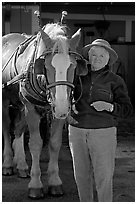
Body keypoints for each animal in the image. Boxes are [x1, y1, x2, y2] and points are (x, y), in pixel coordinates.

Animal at [2, 22, 87, 199]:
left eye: (73, 66)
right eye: (46, 66)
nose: (62, 106)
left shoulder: (57, 112)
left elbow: (54, 143)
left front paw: (55, 182)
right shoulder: (31, 109)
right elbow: (35, 144)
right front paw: (35, 185)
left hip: (21, 105)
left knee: (18, 129)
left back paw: (21, 164)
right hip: (6, 101)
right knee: (6, 129)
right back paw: (7, 163)